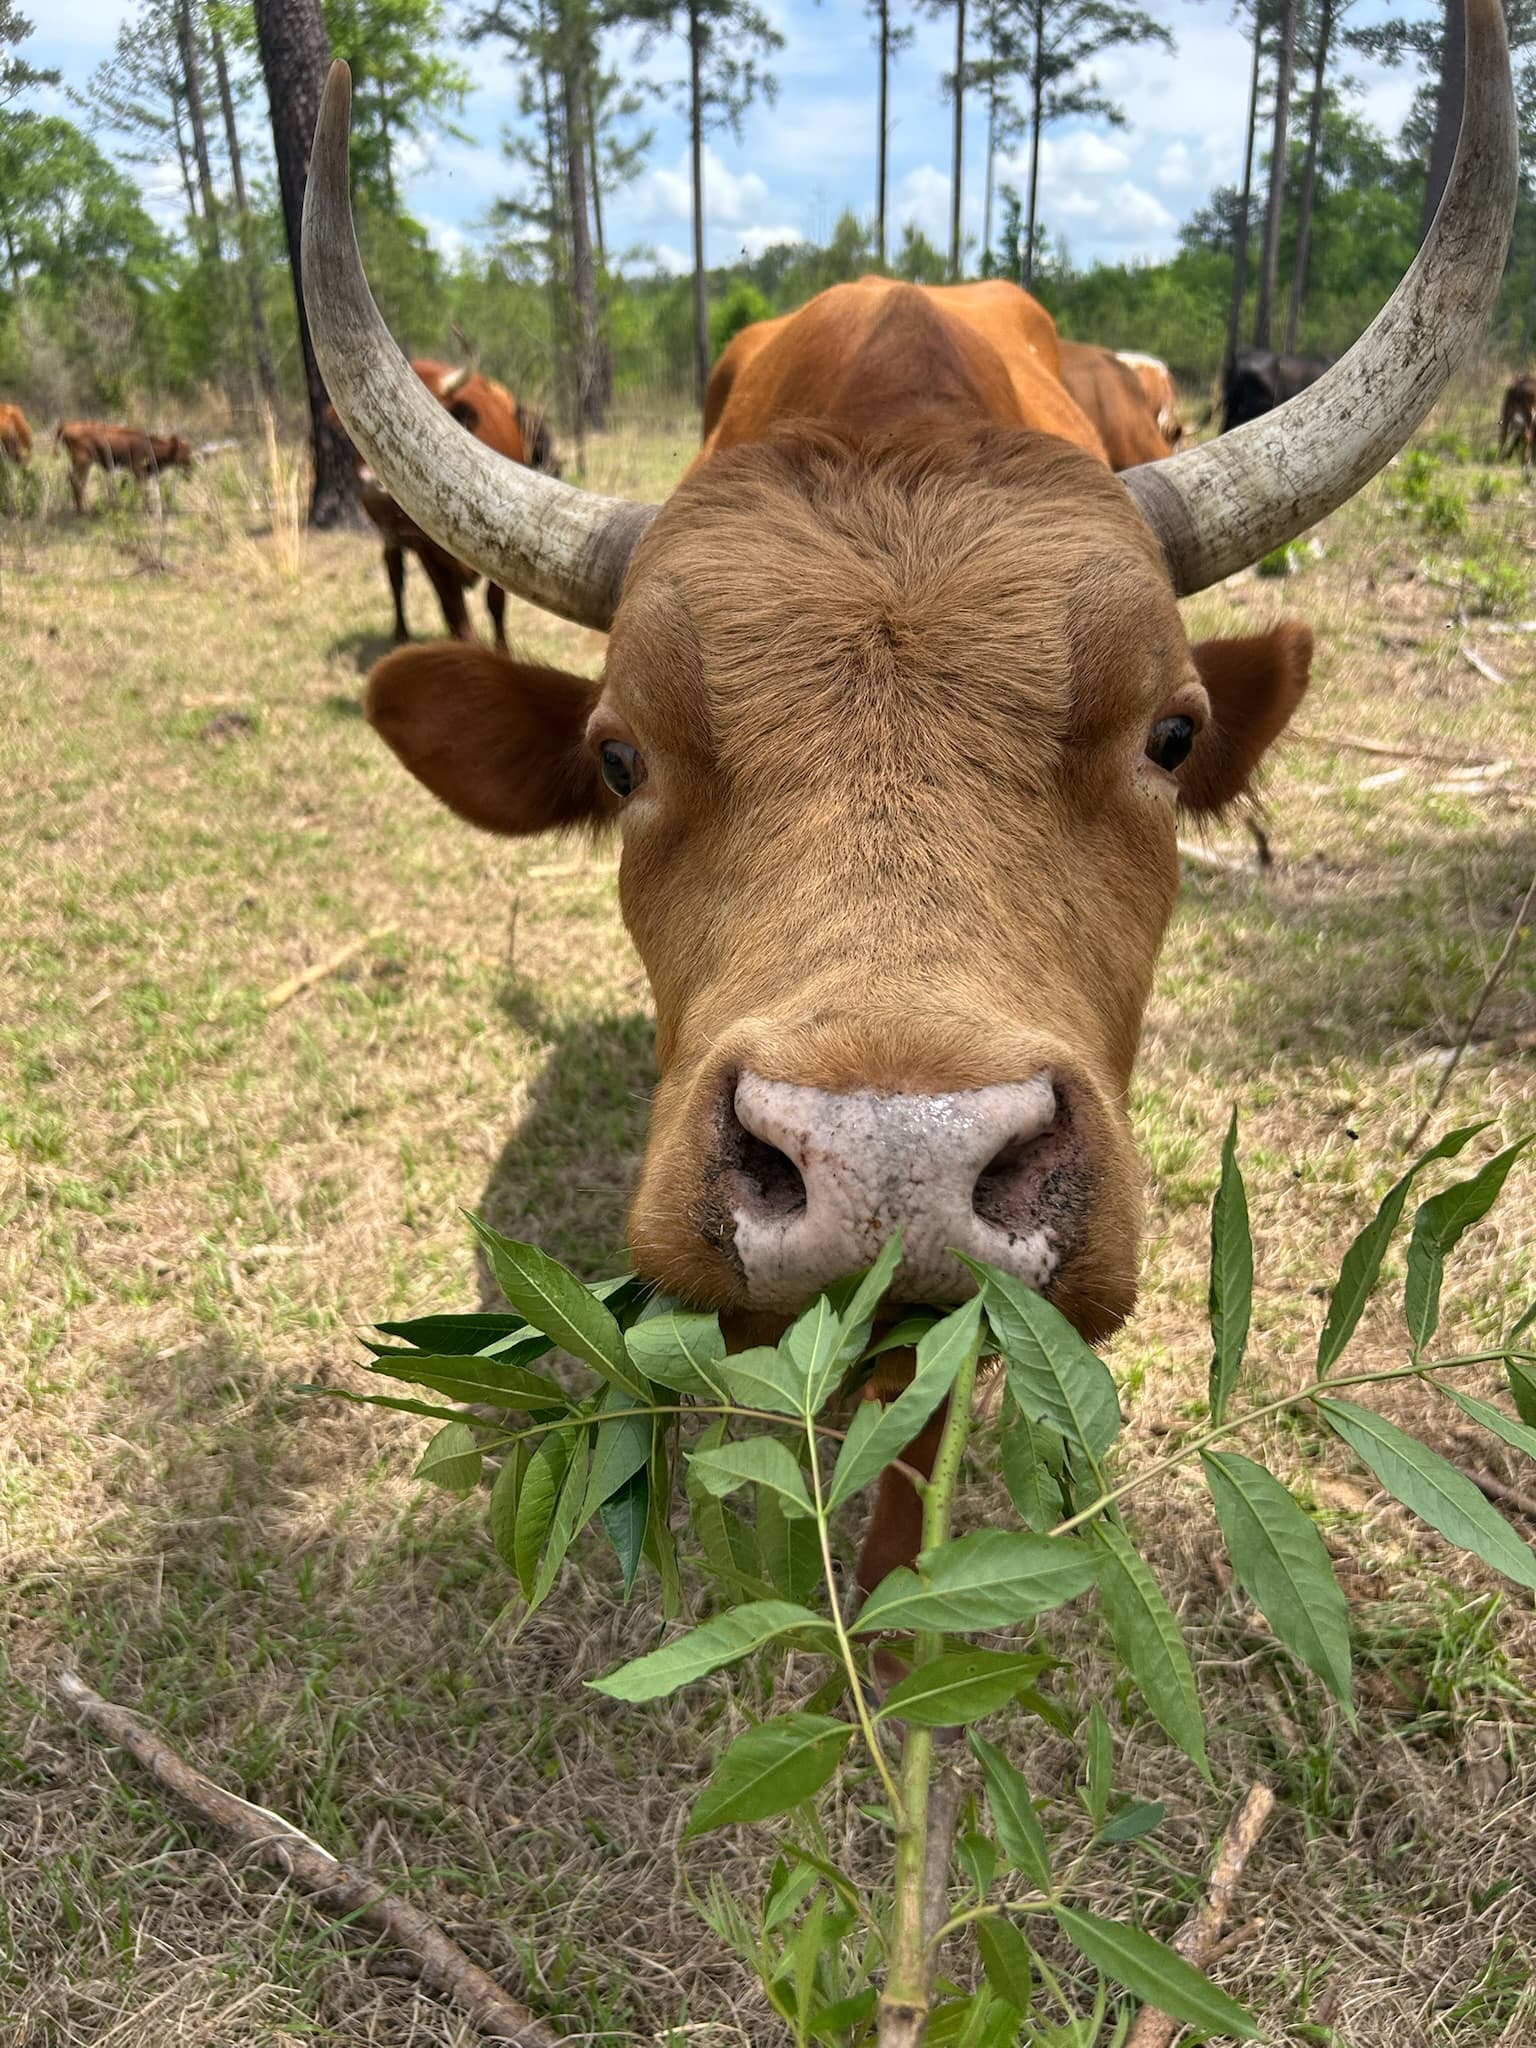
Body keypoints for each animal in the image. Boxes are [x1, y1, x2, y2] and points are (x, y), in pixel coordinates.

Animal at [54, 422, 193, 513]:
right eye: (185, 453)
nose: (190, 467)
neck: (149, 444)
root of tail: (67, 425)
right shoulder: (138, 469)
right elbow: (144, 489)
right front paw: (148, 509)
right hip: (83, 462)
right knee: (77, 481)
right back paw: (82, 509)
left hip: (80, 463)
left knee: (75, 480)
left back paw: (79, 508)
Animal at [330, 358, 559, 651]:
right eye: (357, 423)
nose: (370, 483)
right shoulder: (426, 549)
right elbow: (453, 607)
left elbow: (494, 602)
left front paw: (502, 649)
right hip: (389, 535)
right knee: (396, 574)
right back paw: (401, 634)